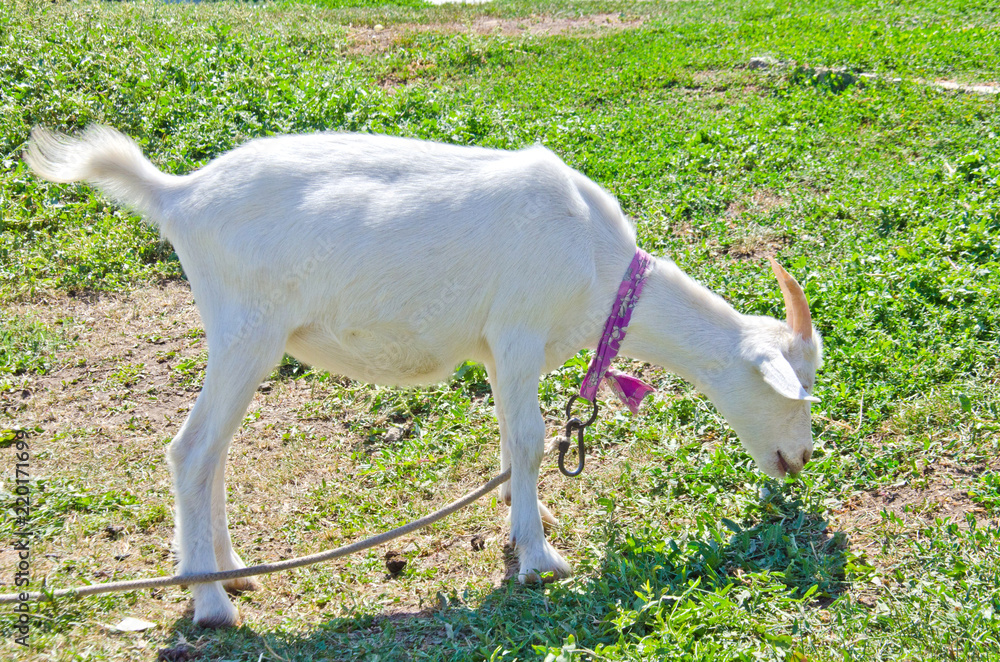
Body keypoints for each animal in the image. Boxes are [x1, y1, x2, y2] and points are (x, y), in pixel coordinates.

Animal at [25, 126, 822, 628]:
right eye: (791, 386)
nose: (801, 458)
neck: (598, 265)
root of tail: (178, 195)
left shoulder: (499, 350)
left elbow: (509, 441)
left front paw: (521, 532)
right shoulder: (519, 330)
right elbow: (532, 441)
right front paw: (541, 559)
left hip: (243, 339)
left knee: (213, 454)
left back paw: (233, 571)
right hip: (246, 330)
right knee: (191, 452)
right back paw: (213, 606)